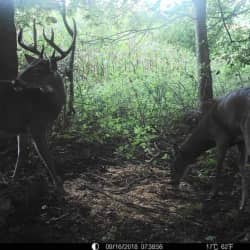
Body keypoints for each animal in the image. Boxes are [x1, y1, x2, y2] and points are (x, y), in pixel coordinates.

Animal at [0, 19, 76, 192]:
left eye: (39, 70)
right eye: (28, 66)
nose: (15, 82)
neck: (47, 106)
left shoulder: (22, 129)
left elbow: (21, 155)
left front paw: (13, 180)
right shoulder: (37, 126)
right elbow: (46, 157)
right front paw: (58, 185)